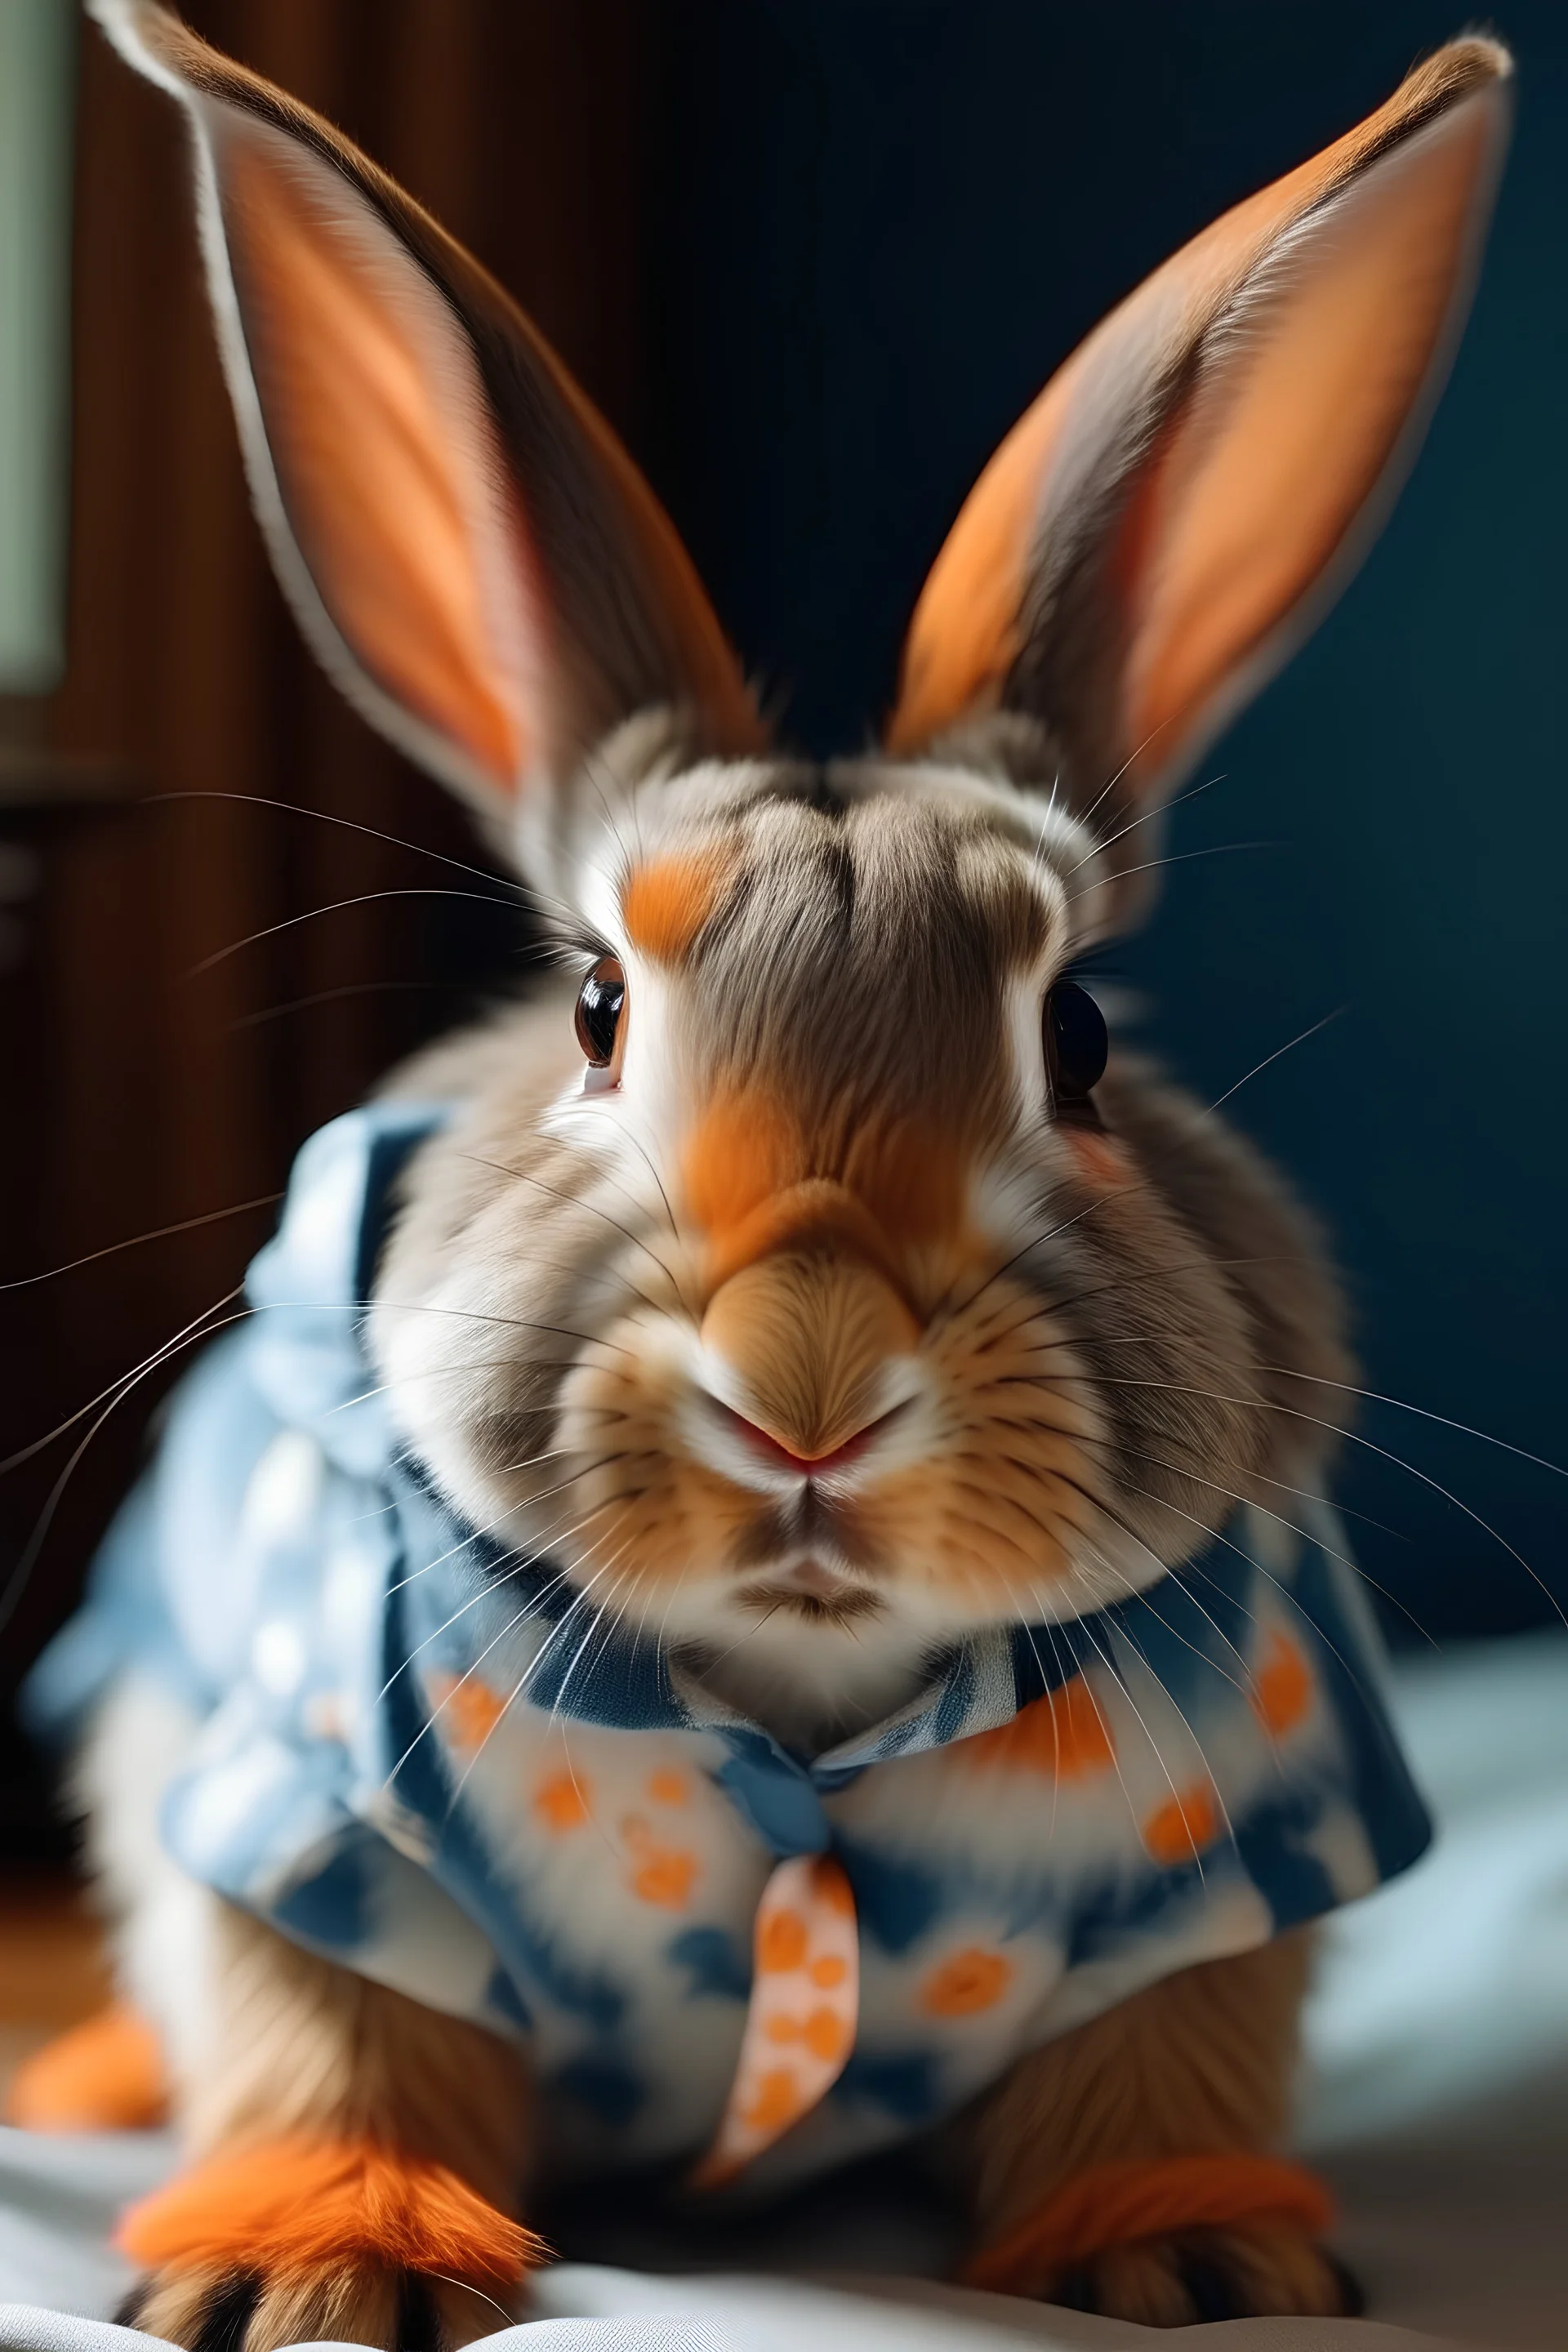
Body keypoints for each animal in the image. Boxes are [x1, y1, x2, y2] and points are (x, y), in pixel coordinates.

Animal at [9, 9, 1504, 2342]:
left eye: (1080, 1037)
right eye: (597, 1008)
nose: (806, 1376)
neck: (808, 1698)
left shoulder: (1238, 1848)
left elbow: (1156, 2059)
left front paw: (1195, 2252)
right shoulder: (312, 1810)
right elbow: (328, 2034)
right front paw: (310, 2270)